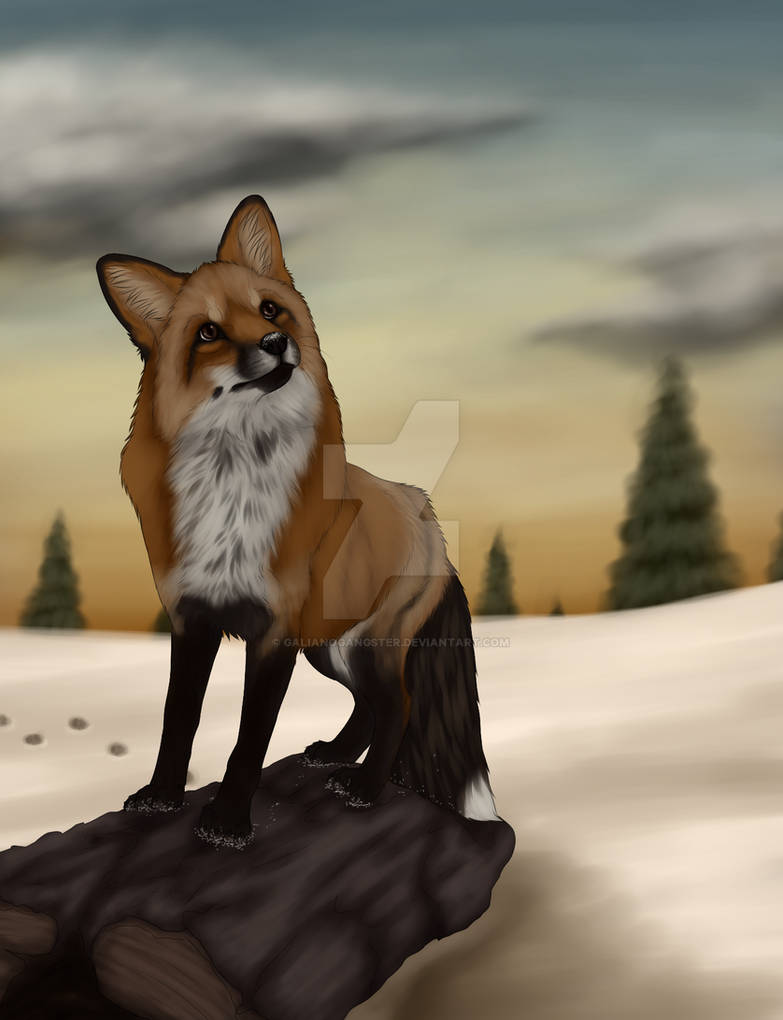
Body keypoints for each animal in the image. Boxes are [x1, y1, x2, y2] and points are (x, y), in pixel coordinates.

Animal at [96, 195, 498, 848]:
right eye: (208, 332)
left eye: (268, 309)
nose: (276, 341)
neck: (236, 483)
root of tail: (426, 511)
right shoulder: (192, 618)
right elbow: (178, 721)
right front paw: (161, 797)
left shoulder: (275, 631)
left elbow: (249, 739)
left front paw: (228, 824)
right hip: (332, 648)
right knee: (370, 708)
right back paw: (335, 755)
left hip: (367, 645)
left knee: (400, 706)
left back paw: (365, 789)